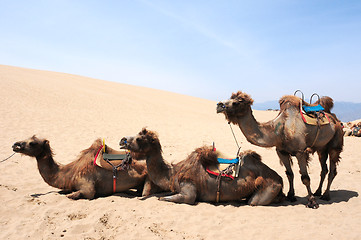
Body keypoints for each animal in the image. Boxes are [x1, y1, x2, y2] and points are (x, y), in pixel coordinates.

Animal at [118, 128, 284, 205]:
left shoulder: (188, 189)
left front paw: (161, 197)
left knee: (253, 202)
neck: (172, 173)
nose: (122, 140)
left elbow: (171, 198)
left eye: (139, 138)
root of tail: (280, 180)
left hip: (270, 186)